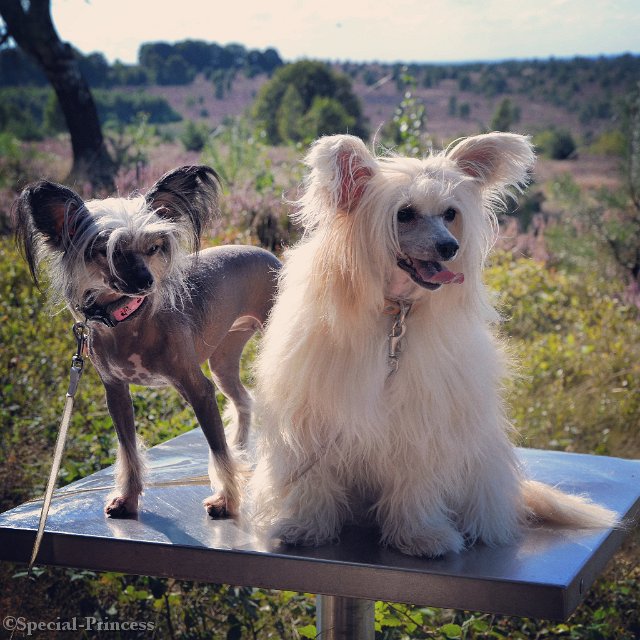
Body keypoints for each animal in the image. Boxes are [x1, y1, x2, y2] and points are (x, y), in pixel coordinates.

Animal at [14, 165, 281, 518]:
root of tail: (271, 254)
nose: (146, 281)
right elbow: (128, 450)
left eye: (154, 247)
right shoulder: (116, 394)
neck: (129, 318)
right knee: (243, 401)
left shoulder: (198, 389)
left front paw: (225, 499)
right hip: (223, 361)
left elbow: (216, 449)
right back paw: (241, 451)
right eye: (106, 251)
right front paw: (127, 498)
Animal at [250, 133, 618, 557]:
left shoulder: (422, 424)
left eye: (450, 213)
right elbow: (311, 481)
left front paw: (421, 535)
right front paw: (305, 526)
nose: (449, 247)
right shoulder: (312, 421)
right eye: (404, 214)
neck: (395, 314)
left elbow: (416, 483)